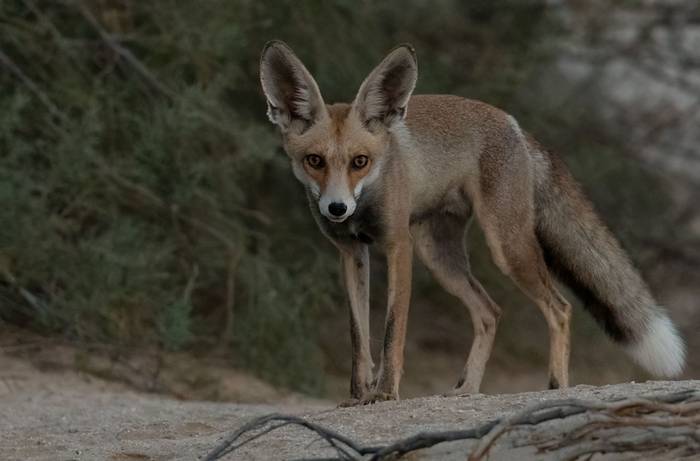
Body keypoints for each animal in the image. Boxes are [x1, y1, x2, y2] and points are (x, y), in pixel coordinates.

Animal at [259, 40, 686, 404]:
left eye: (359, 161)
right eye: (315, 161)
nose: (336, 208)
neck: (366, 200)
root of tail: (514, 124)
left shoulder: (397, 246)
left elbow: (392, 331)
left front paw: (385, 393)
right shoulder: (352, 252)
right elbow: (358, 337)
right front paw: (358, 395)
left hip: (506, 248)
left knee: (560, 308)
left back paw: (556, 386)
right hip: (440, 258)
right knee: (490, 312)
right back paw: (467, 389)